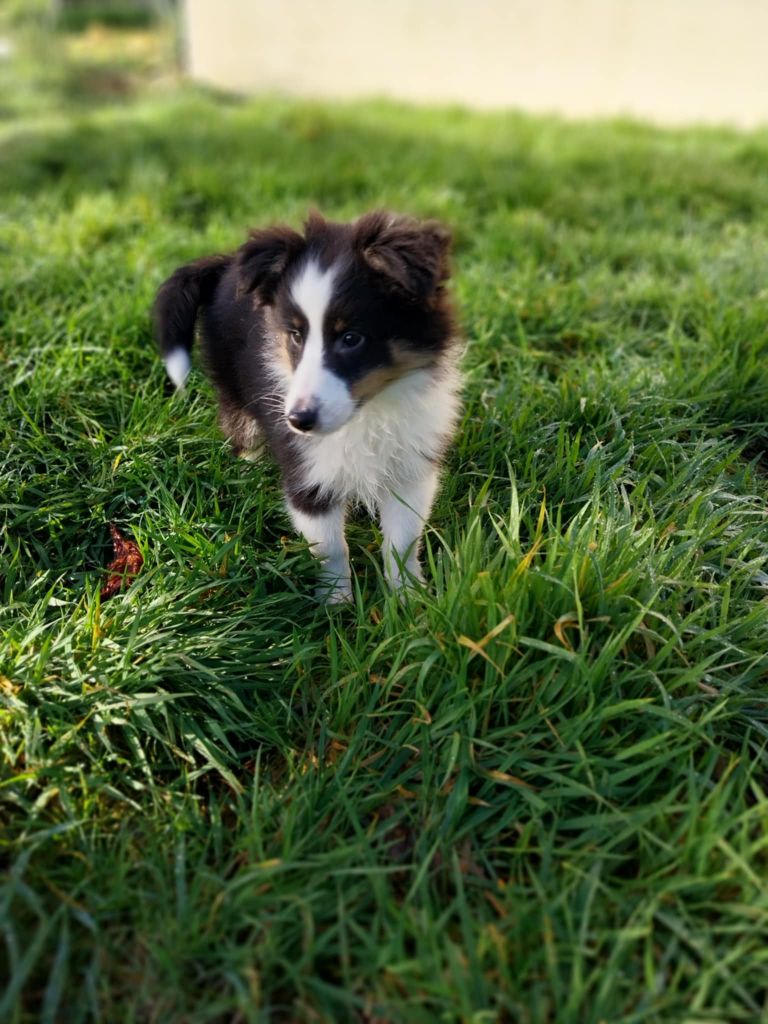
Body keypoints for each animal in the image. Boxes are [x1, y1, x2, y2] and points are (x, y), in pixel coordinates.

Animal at [153, 211, 460, 602]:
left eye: (351, 338)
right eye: (296, 335)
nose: (298, 421)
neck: (367, 413)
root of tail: (226, 264)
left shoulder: (411, 469)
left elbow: (403, 541)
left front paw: (408, 599)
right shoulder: (307, 472)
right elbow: (330, 548)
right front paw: (337, 605)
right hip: (234, 388)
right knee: (243, 433)